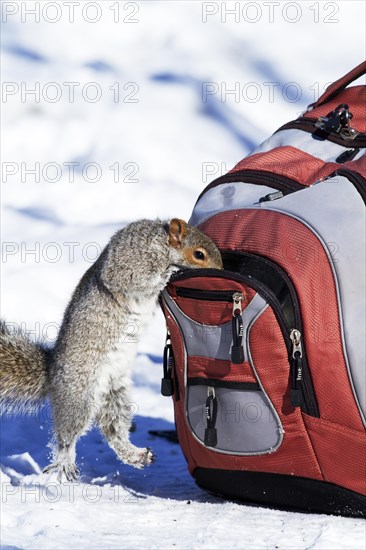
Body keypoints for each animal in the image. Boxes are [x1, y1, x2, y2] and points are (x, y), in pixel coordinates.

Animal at [1, 220, 223, 484]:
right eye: (199, 254)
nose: (222, 271)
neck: (160, 244)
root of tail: (51, 371)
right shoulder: (127, 264)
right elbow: (137, 279)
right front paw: (170, 273)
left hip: (114, 394)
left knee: (113, 431)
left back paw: (136, 455)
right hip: (80, 394)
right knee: (67, 434)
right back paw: (65, 462)